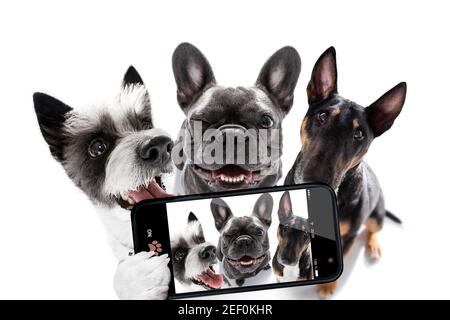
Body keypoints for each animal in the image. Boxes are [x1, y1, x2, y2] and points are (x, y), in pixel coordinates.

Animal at [284, 47, 408, 298]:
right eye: (322, 117)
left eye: (358, 134)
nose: (313, 180)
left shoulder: (347, 237)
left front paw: (327, 285)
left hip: (375, 216)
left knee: (372, 230)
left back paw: (373, 246)